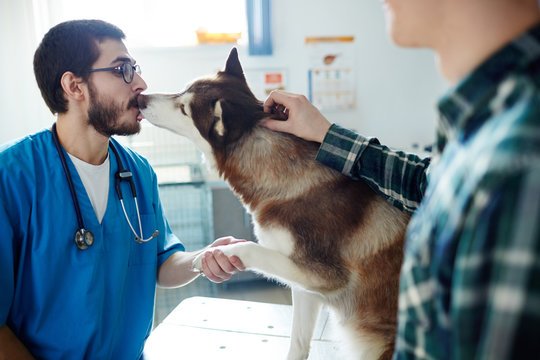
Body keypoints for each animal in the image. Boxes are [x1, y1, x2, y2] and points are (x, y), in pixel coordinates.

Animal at [137, 48, 408, 360]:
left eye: (184, 108)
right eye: (182, 91)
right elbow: (298, 342)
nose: (141, 99)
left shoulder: (325, 276)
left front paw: (216, 254)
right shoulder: (306, 286)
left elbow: (250, 248)